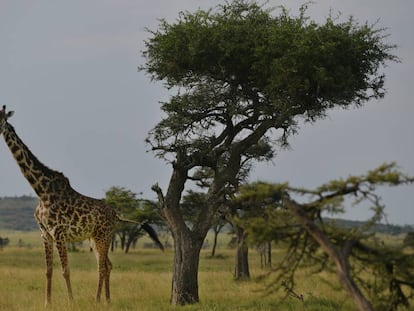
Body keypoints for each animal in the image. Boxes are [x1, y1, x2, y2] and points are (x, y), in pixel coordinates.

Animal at [0, 106, 164, 306]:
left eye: (2, 119)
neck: (41, 191)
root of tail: (116, 214)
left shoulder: (59, 233)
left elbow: (65, 270)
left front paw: (71, 301)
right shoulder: (45, 234)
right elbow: (48, 270)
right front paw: (47, 302)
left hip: (103, 236)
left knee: (102, 267)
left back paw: (97, 299)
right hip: (95, 238)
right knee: (108, 264)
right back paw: (107, 300)